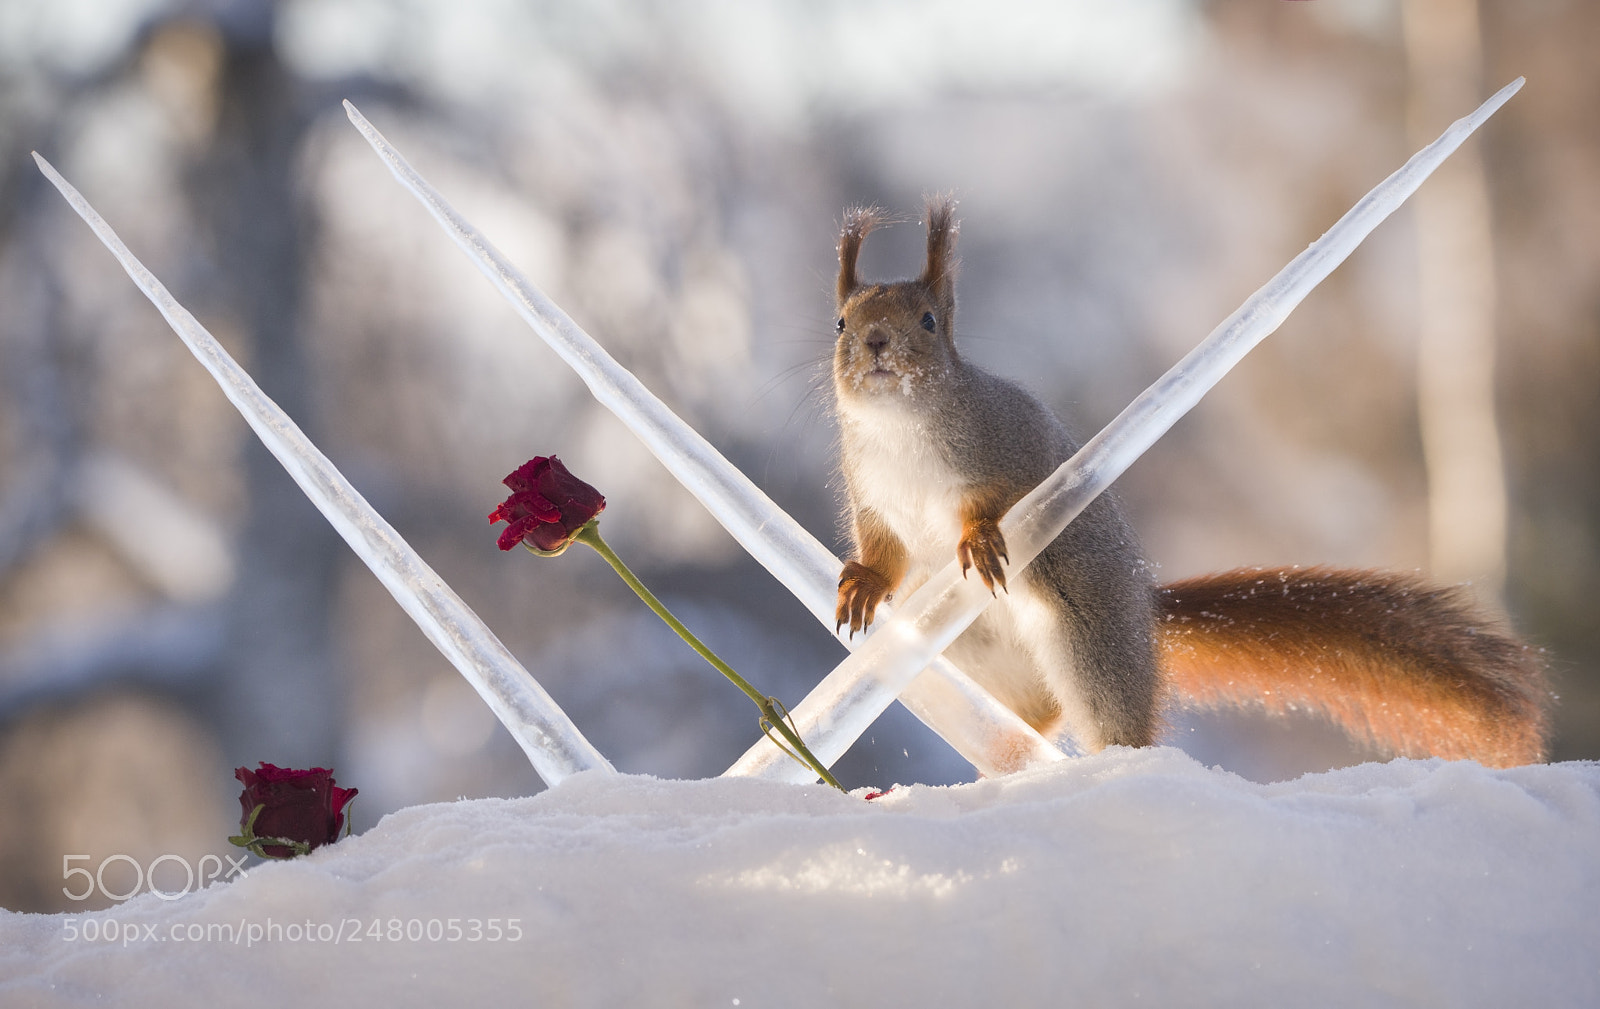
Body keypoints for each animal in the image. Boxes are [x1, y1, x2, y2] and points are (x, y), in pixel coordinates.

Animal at [830, 196, 1548, 768]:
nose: (875, 342)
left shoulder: (1009, 446)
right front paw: (863, 582)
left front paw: (979, 538)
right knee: (1017, 723)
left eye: (928, 321)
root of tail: (1146, 618)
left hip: (1090, 646)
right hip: (968, 660)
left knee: (1110, 719)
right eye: (840, 322)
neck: (900, 427)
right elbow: (884, 549)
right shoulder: (872, 493)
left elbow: (997, 504)